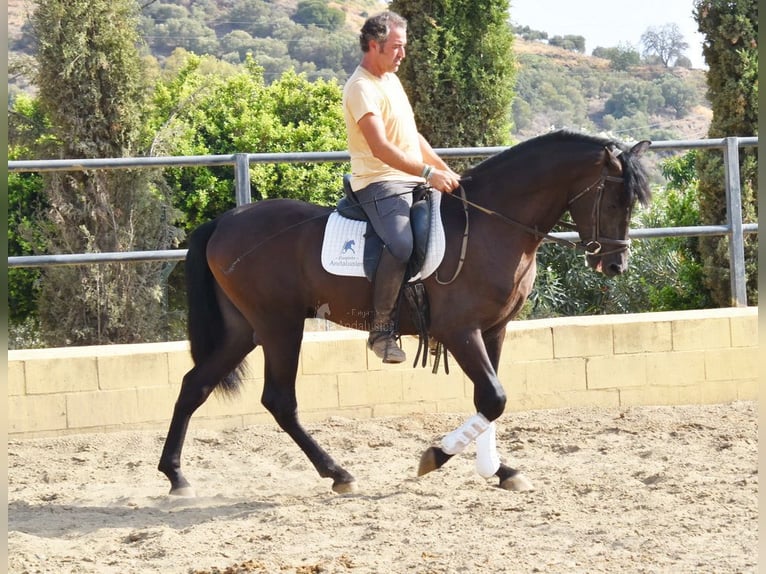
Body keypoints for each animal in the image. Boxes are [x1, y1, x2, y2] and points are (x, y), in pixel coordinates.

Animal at [158, 129, 651, 496]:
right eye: (614, 200)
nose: (616, 265)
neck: (491, 224)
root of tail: (225, 220)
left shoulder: (494, 330)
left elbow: (490, 401)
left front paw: (499, 471)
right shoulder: (460, 330)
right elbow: (494, 397)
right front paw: (435, 457)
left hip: (245, 329)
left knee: (194, 386)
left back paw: (177, 476)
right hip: (280, 326)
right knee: (279, 400)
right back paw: (338, 474)